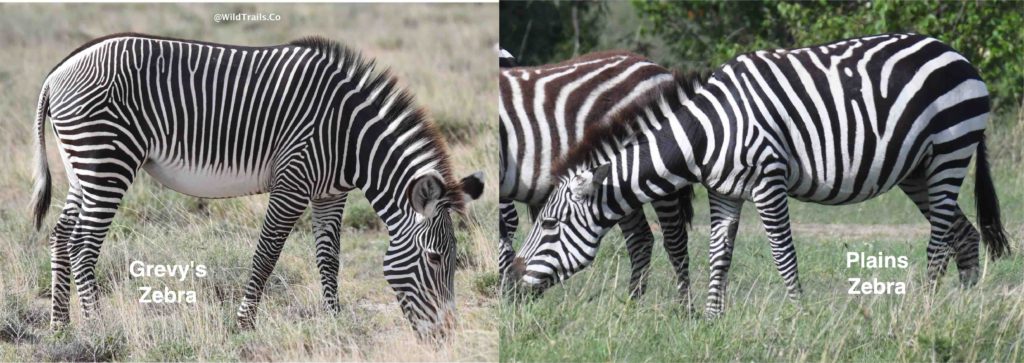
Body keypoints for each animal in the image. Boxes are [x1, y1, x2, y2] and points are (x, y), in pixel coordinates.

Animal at [497, 49, 696, 299]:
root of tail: (655, 66)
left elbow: (505, 229)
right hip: (621, 182)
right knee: (641, 239)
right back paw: (632, 304)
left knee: (675, 241)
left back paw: (683, 307)